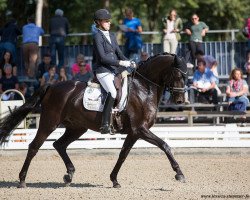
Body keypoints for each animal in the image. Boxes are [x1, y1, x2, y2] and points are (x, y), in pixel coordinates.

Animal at [0, 52, 188, 188]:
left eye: (186, 75)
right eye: (178, 74)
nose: (180, 100)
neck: (143, 88)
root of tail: (52, 86)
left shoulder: (134, 133)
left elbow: (123, 154)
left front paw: (114, 180)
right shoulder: (140, 129)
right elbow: (165, 145)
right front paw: (179, 174)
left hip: (77, 127)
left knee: (59, 144)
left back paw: (69, 175)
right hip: (49, 122)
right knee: (34, 147)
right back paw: (22, 180)